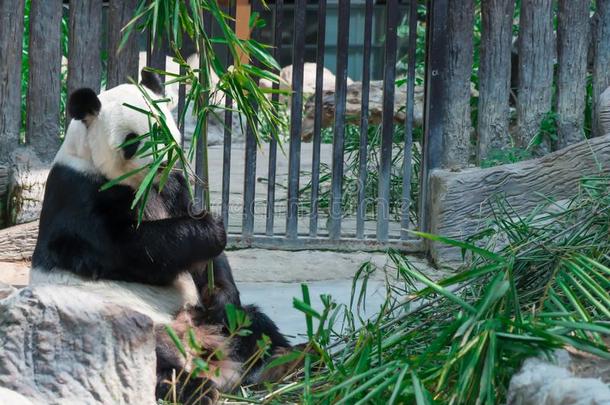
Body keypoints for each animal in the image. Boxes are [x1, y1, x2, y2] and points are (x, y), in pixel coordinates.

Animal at [30, 71, 294, 402]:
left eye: (165, 126)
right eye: (133, 139)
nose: (164, 159)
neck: (141, 181)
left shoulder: (173, 185)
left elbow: (205, 261)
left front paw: (219, 294)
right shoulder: (79, 194)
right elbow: (129, 249)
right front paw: (213, 227)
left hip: (207, 320)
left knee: (250, 323)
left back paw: (287, 361)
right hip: (122, 328)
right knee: (149, 364)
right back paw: (197, 389)